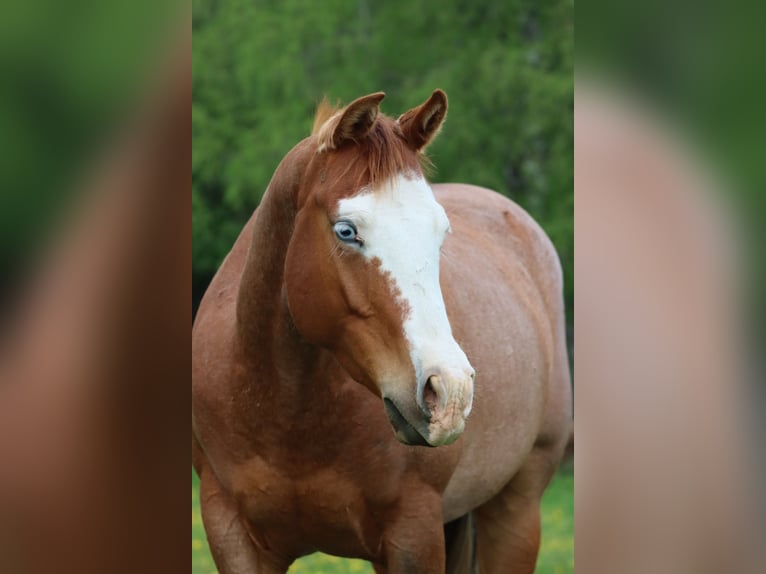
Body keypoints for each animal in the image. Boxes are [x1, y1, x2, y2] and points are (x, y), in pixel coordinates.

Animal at [192, 90, 572, 573]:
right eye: (346, 230)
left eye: (441, 233)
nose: (449, 391)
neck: (283, 411)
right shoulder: (232, 536)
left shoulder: (413, 535)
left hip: (516, 510)